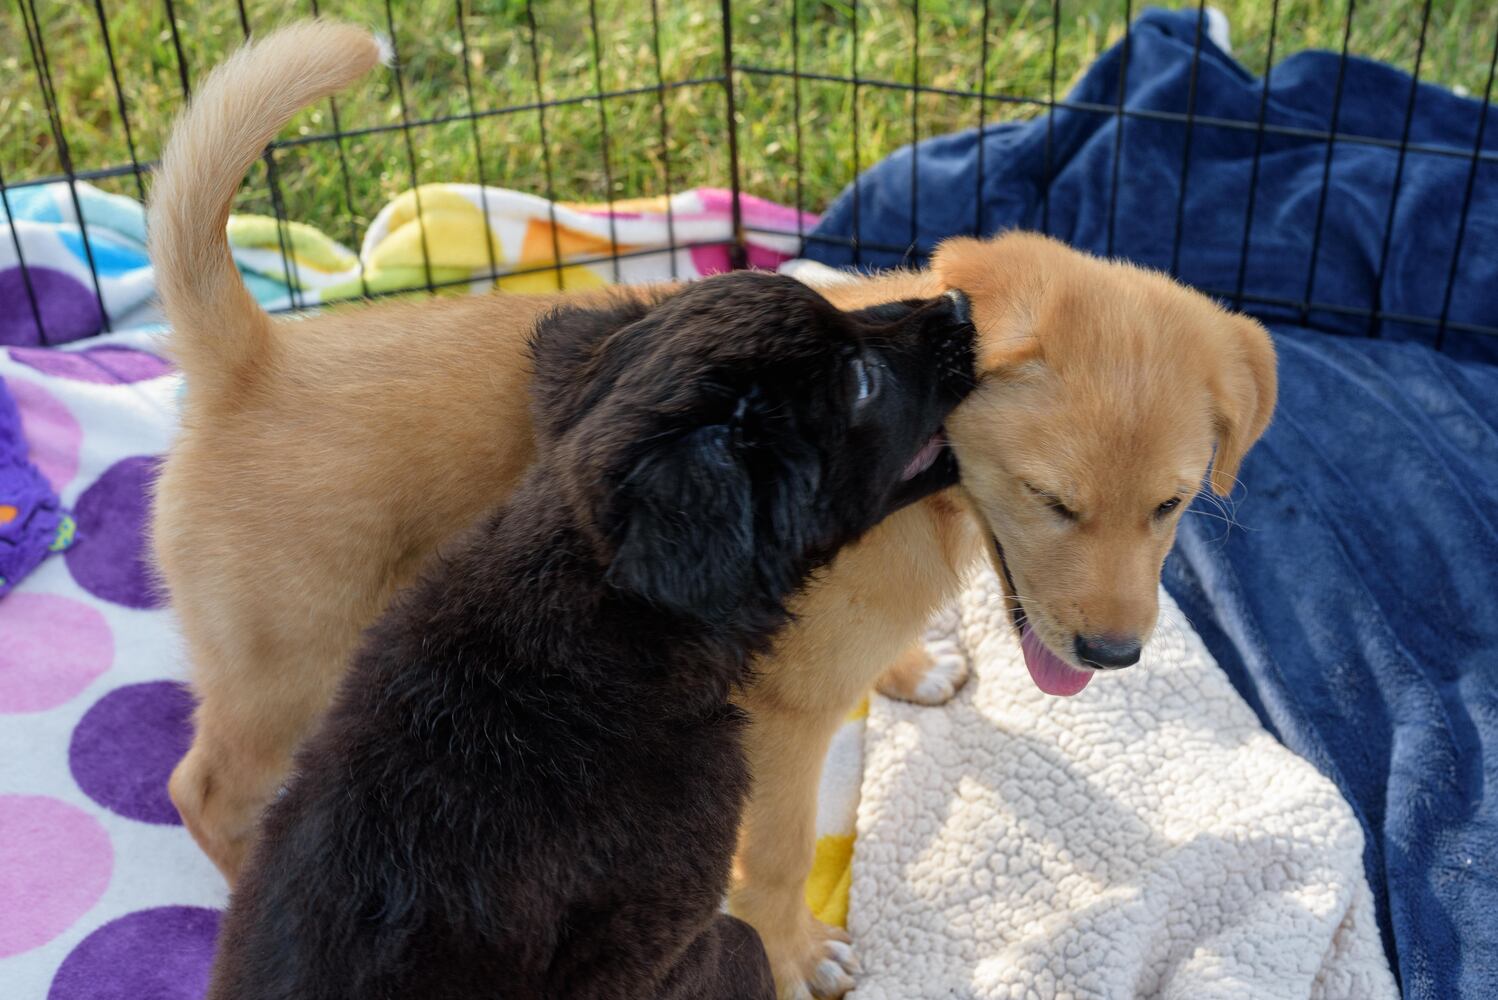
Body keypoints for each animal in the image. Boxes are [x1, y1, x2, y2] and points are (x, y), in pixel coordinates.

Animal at [211, 273, 976, 999]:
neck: (584, 590)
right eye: (860, 381)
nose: (961, 305)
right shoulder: (676, 930)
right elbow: (767, 896)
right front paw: (803, 955)